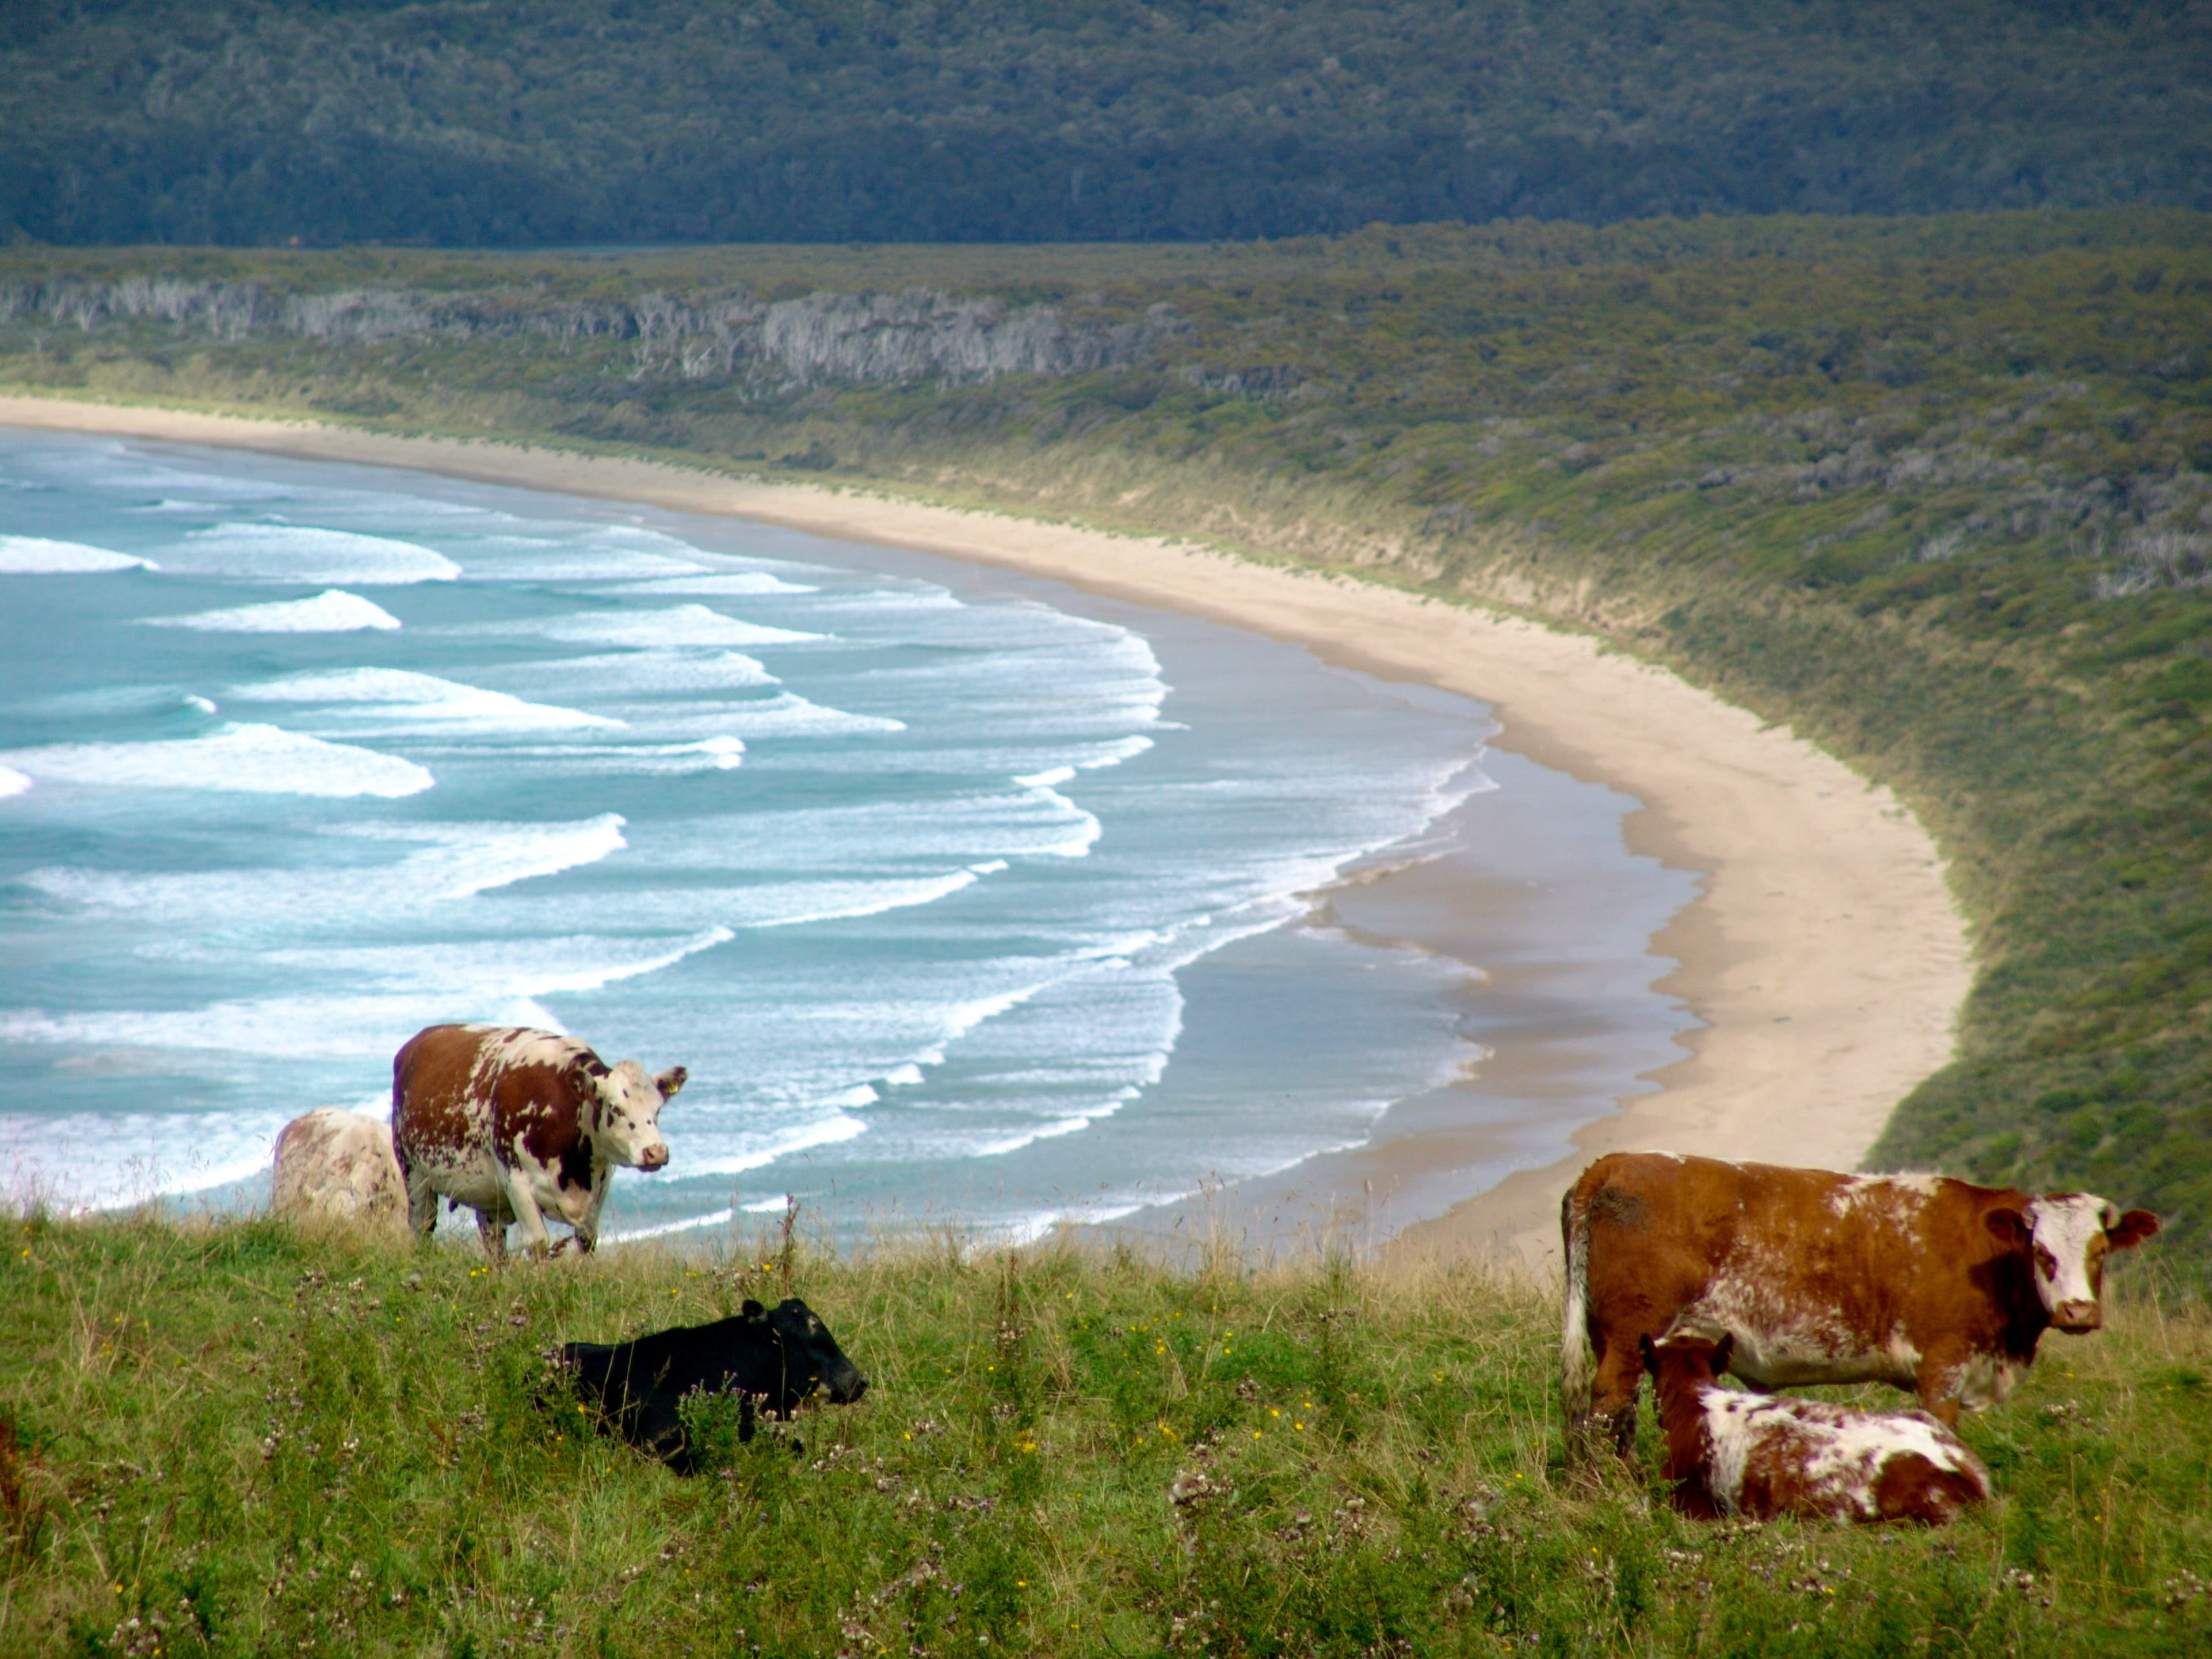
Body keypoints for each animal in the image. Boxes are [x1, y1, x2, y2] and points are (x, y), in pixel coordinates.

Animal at [390, 1023, 686, 1263]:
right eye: (615, 1108)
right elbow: (539, 1245)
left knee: (494, 1242)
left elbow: (586, 1243)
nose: (656, 1152)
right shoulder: (517, 1182)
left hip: (488, 1198)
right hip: (414, 1175)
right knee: (423, 1227)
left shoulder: (599, 1188)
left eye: (658, 1109)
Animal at [1560, 1152, 2159, 1464]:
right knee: (1606, 1403)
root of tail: (1615, 1162)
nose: (2078, 1312)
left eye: (2099, 1252)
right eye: (2042, 1252)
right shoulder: (1942, 1365)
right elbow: (1940, 1430)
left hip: (1618, 1336)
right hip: (1632, 1332)